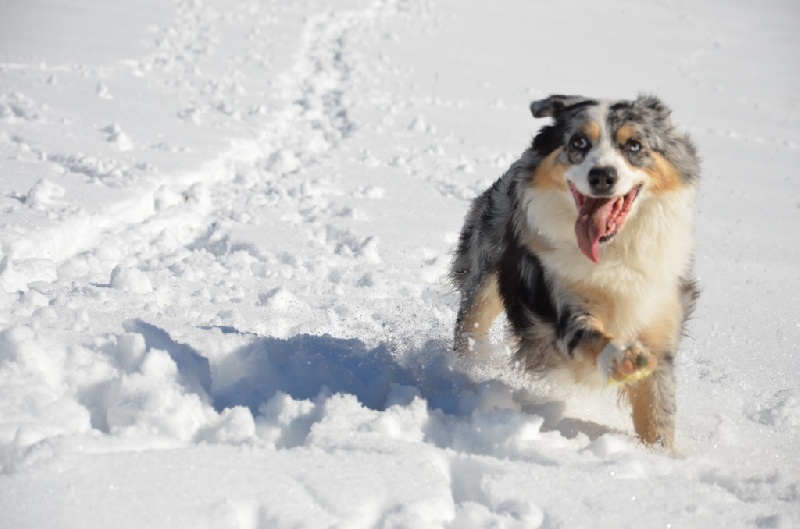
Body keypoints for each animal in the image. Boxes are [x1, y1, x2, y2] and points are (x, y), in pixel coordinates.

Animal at [450, 95, 700, 450]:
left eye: (634, 145)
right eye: (579, 142)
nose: (602, 176)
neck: (613, 254)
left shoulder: (660, 323)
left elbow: (657, 415)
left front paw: (661, 456)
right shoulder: (563, 303)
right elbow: (590, 336)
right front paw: (622, 359)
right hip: (483, 277)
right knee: (470, 328)